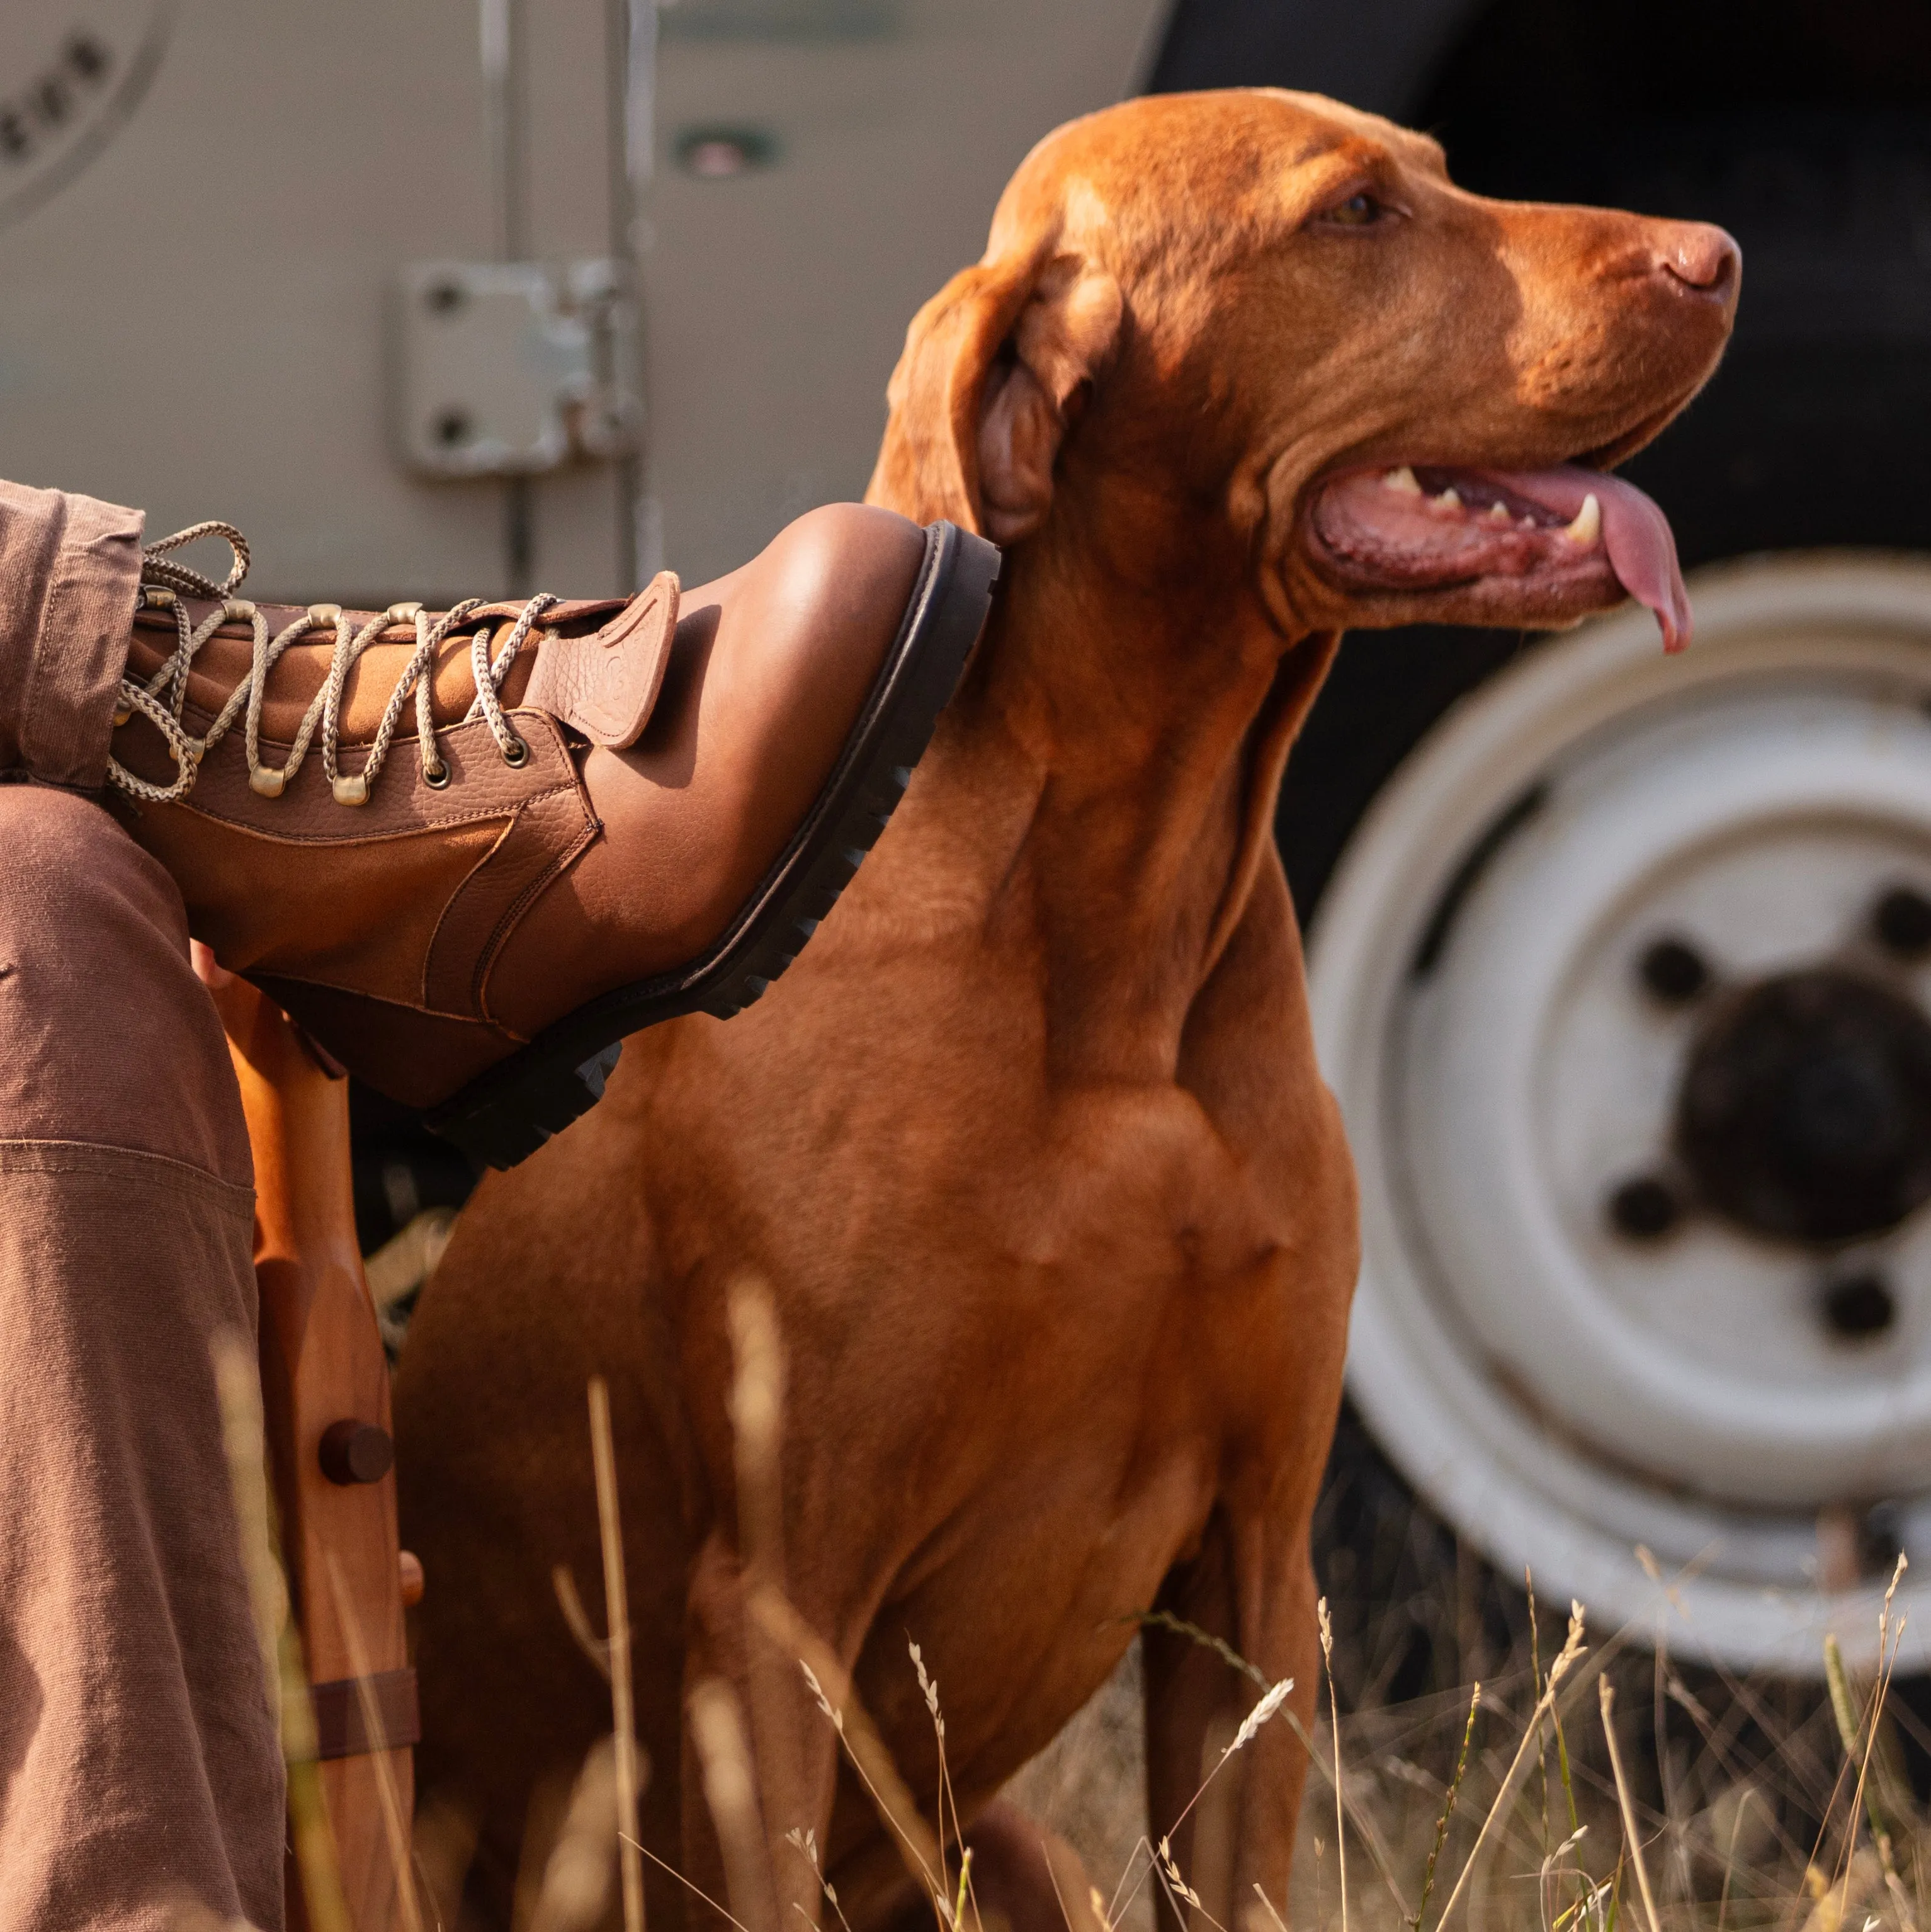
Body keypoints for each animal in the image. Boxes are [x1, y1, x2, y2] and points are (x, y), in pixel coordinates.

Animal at [392, 87, 1738, 1932]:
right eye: (1355, 214)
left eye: (1442, 171)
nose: (1717, 256)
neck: (1118, 966)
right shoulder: (779, 1607)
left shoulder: (1255, 1576)